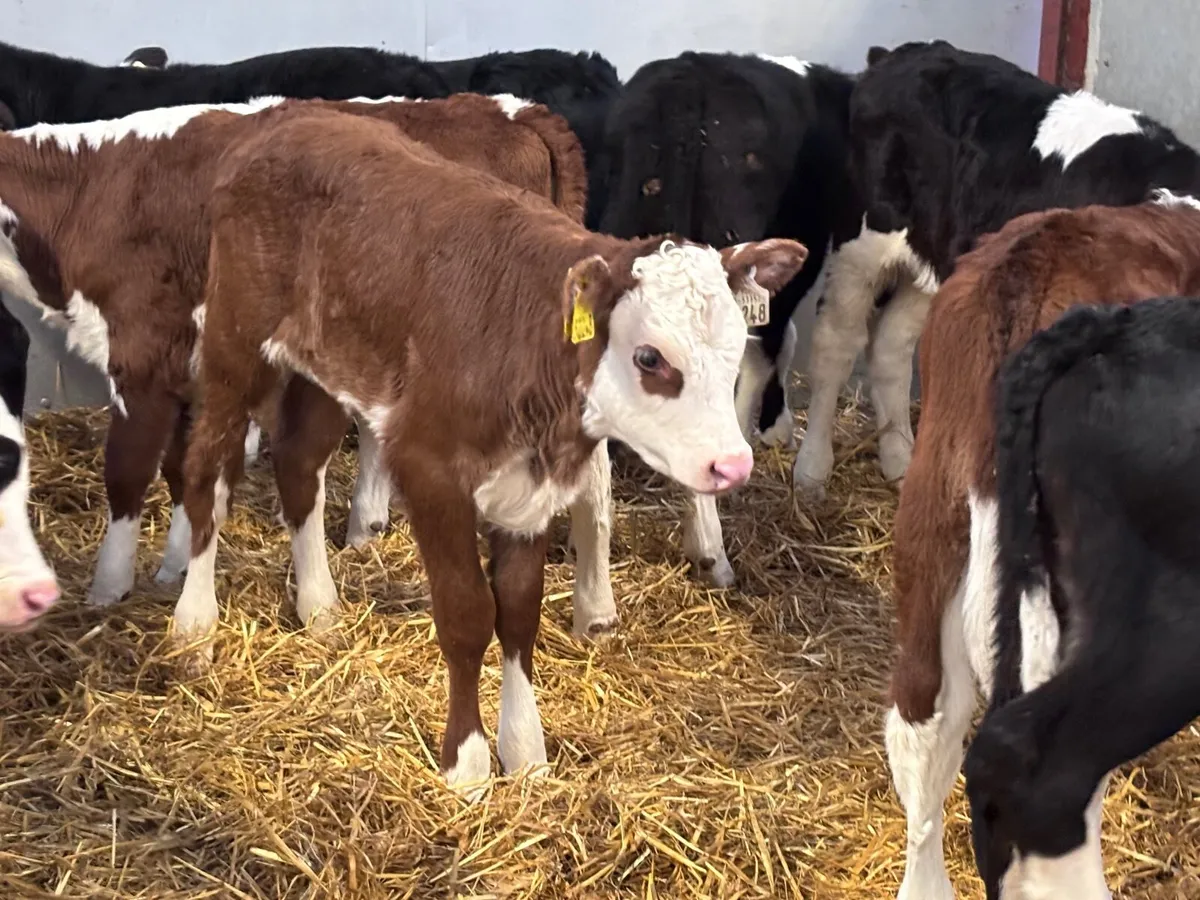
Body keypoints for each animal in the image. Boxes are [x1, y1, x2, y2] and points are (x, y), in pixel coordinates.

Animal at [0, 92, 628, 642]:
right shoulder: (189, 373)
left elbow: (128, 471)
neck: (97, 188)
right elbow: (183, 469)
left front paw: (108, 591)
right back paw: (593, 610)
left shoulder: (143, 355)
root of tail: (513, 109)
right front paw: (174, 567)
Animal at [175, 103, 808, 796]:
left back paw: (318, 605)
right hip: (235, 349)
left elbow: (519, 614)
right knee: (208, 473)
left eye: (736, 344)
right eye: (649, 357)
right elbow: (468, 613)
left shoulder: (530, 493)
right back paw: (194, 626)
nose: (733, 464)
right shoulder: (430, 470)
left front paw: (525, 751)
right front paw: (468, 764)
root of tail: (288, 118)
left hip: (328, 370)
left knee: (298, 467)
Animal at [792, 38, 1200, 504]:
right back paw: (812, 470)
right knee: (837, 343)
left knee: (891, 345)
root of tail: (895, 55)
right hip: (861, 242)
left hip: (937, 258)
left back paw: (901, 461)